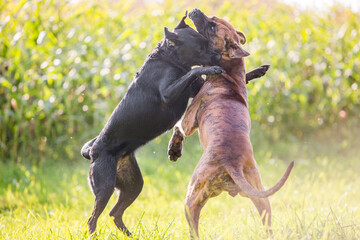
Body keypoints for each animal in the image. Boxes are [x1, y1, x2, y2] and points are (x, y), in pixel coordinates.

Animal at [81, 12, 268, 236]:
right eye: (201, 47)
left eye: (208, 41)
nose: (218, 57)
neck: (168, 59)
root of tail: (93, 151)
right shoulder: (169, 93)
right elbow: (191, 73)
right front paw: (213, 69)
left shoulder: (195, 89)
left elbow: (236, 78)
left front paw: (257, 71)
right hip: (105, 185)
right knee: (93, 218)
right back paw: (95, 234)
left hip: (133, 184)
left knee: (114, 213)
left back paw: (130, 235)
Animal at [167, 8, 294, 236]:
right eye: (214, 19)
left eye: (212, 27)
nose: (195, 10)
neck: (230, 75)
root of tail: (232, 163)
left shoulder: (190, 120)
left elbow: (178, 127)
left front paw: (174, 149)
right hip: (260, 197)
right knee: (268, 223)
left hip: (192, 197)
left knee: (194, 226)